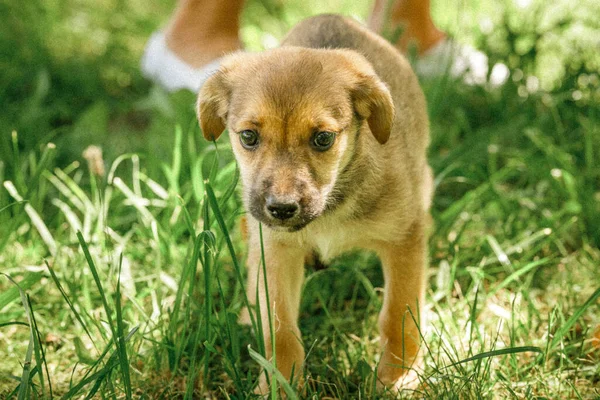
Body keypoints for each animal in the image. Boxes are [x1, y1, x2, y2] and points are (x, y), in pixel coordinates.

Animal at [197, 14, 432, 392]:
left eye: (323, 139)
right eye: (248, 136)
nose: (281, 208)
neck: (330, 210)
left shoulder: (404, 238)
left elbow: (399, 313)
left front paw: (398, 377)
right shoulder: (275, 250)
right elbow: (280, 329)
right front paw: (279, 386)